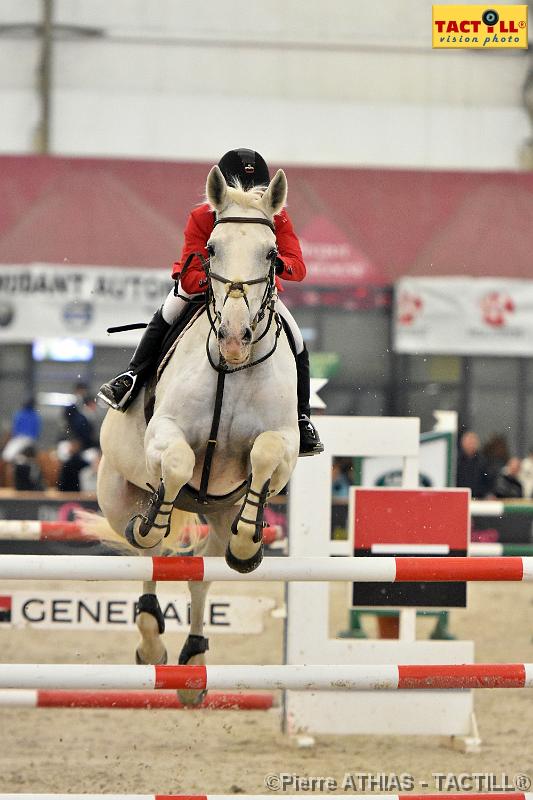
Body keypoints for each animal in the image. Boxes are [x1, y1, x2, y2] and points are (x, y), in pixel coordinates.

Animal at [96, 164, 300, 700]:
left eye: (271, 254)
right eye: (209, 249)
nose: (233, 337)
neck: (233, 369)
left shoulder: (284, 443)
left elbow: (265, 455)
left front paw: (250, 546)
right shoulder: (164, 433)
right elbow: (178, 461)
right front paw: (153, 523)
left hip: (222, 510)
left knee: (201, 574)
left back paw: (194, 662)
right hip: (117, 495)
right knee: (148, 550)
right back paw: (152, 640)